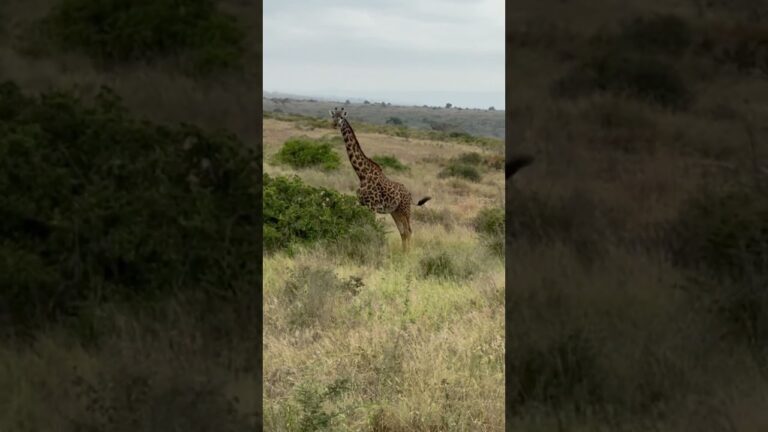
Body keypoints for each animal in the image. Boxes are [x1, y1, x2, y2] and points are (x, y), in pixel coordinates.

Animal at [329, 107, 431, 252]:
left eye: (341, 117)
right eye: (333, 116)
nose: (334, 124)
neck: (362, 174)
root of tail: (410, 194)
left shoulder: (372, 206)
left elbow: (370, 227)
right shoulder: (362, 204)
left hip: (405, 210)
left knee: (409, 230)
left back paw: (408, 253)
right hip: (395, 211)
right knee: (402, 232)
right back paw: (403, 252)